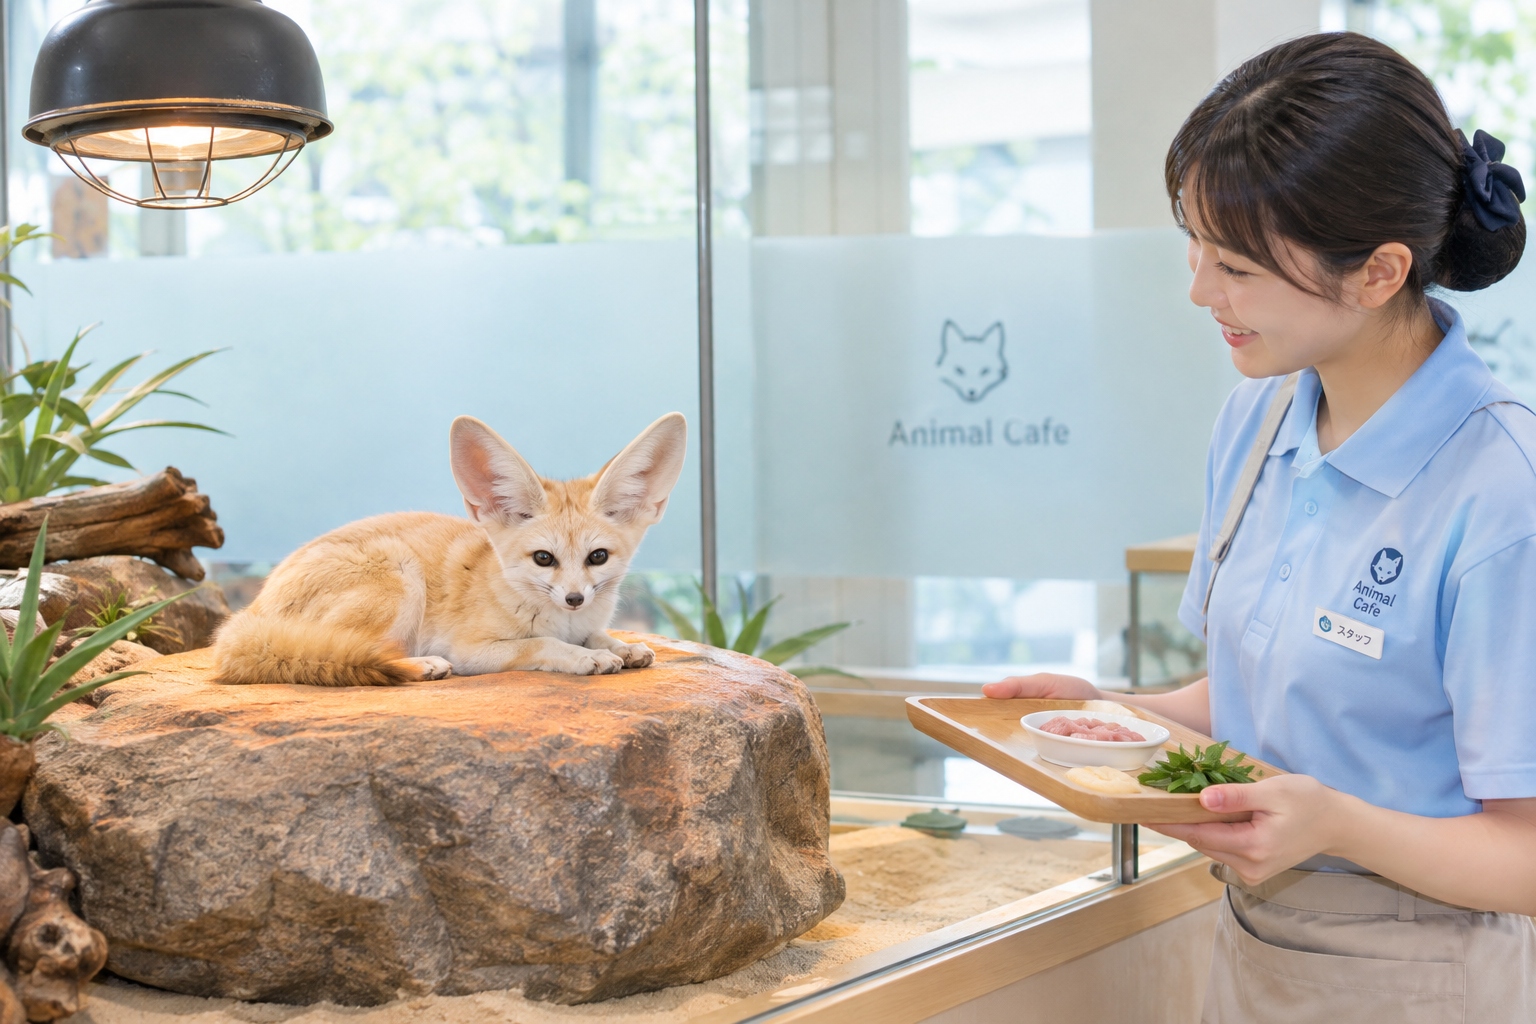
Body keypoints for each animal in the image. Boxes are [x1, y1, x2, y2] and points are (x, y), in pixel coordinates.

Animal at [212, 412, 687, 686]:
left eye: (598, 557)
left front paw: (619, 646)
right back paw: (421, 667)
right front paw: (584, 657)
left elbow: (599, 634)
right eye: (544, 558)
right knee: (350, 651)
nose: (574, 598)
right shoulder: (471, 649)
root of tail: (250, 613)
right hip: (401, 578)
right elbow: (541, 645)